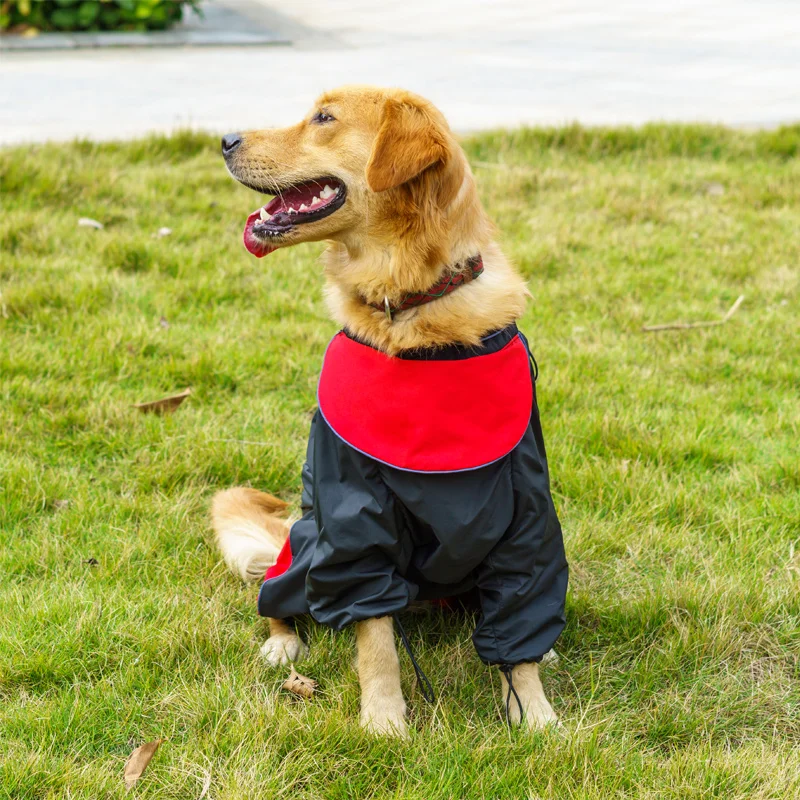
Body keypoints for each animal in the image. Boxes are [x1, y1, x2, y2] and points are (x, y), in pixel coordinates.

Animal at [209, 87, 564, 736]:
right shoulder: (354, 514)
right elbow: (376, 638)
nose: (225, 139)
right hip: (306, 543)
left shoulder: (525, 512)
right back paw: (281, 642)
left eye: (324, 118)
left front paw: (534, 711)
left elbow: (520, 624)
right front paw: (384, 720)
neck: (413, 311)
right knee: (277, 593)